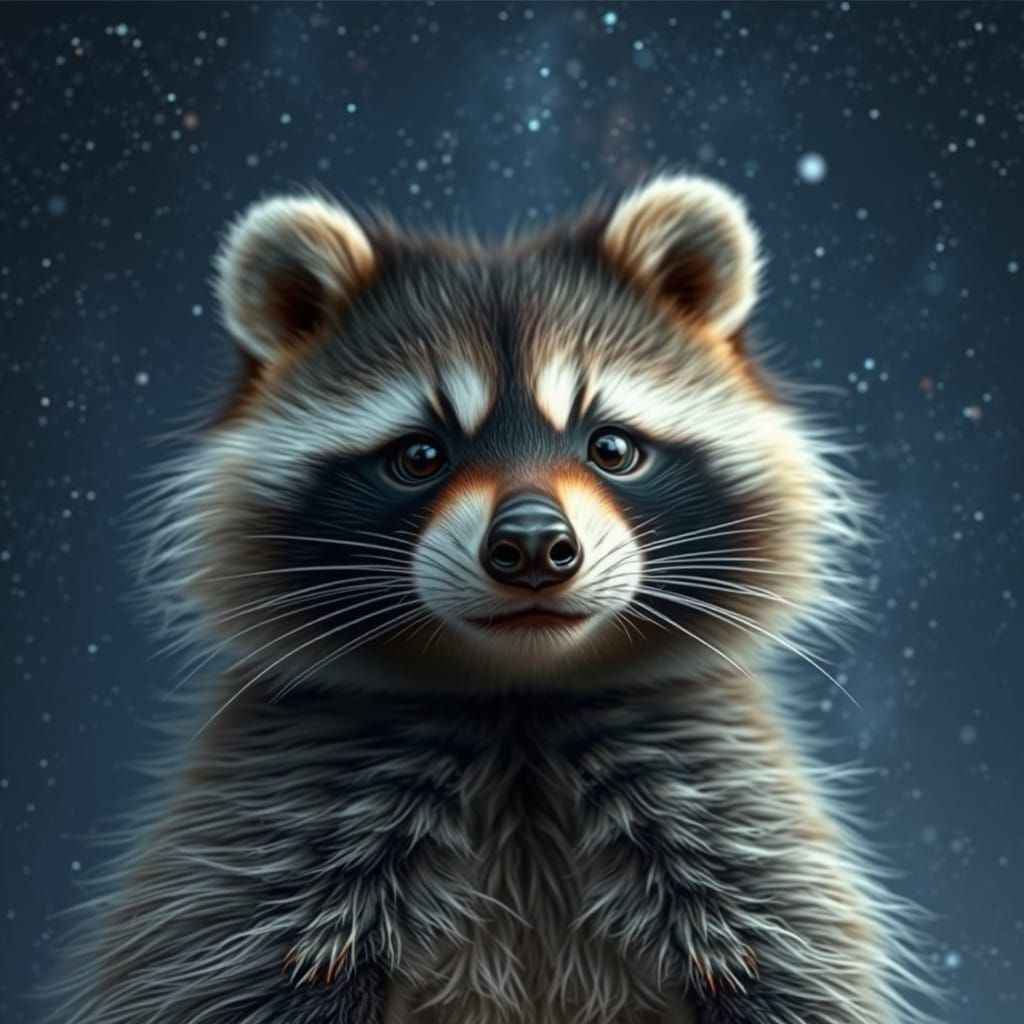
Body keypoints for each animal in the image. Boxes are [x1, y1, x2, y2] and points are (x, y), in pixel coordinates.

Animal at [46, 174, 935, 1024]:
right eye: (419, 456)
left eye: (612, 447)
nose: (534, 547)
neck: (517, 702)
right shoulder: (274, 835)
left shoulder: (729, 814)